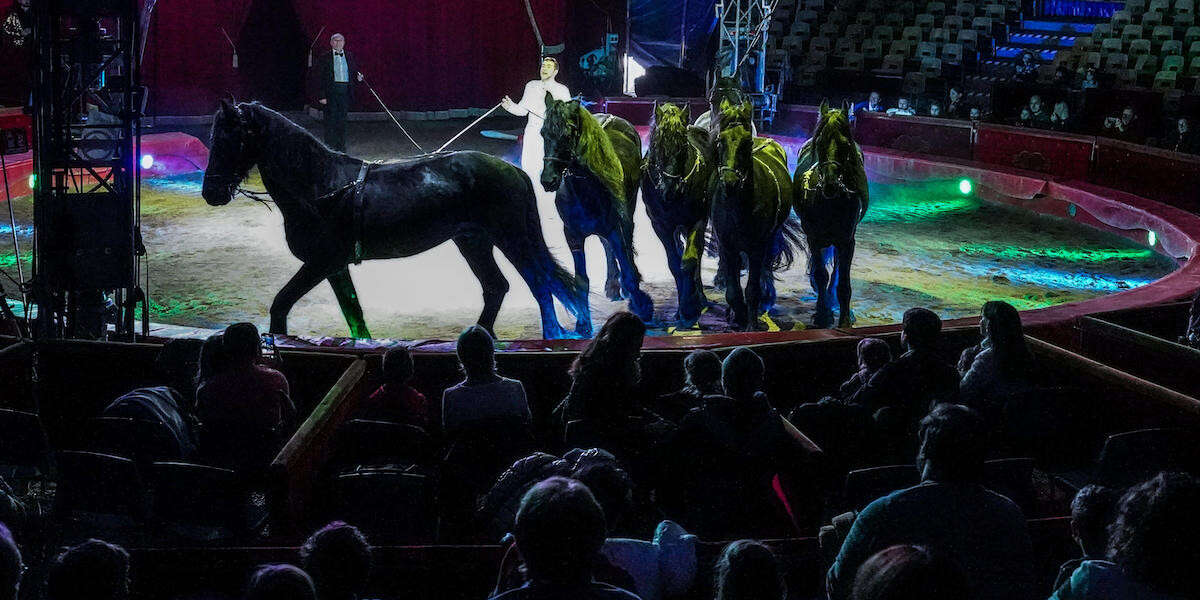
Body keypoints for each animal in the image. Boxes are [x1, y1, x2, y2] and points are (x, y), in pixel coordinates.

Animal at [200, 100, 590, 340]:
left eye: (231, 137)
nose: (211, 192)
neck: (321, 187)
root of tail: (514, 170)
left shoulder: (320, 262)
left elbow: (281, 304)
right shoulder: (334, 267)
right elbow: (354, 315)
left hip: (511, 238)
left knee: (540, 285)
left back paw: (550, 335)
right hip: (473, 241)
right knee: (498, 286)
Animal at [544, 92, 657, 324]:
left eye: (567, 135)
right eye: (543, 133)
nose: (548, 179)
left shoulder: (614, 227)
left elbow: (626, 266)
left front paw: (641, 305)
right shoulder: (573, 236)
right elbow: (581, 280)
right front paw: (582, 323)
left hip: (627, 211)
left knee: (626, 239)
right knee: (607, 247)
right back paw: (612, 284)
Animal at [648, 103, 710, 328]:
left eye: (683, 145)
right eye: (656, 144)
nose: (669, 189)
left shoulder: (697, 220)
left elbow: (689, 261)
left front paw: (690, 308)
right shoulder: (660, 225)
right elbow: (674, 263)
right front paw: (682, 308)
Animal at [686, 100, 796, 331]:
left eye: (747, 142)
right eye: (720, 141)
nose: (730, 182)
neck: (739, 207)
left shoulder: (757, 246)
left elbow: (752, 289)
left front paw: (751, 323)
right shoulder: (728, 246)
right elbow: (733, 290)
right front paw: (738, 316)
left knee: (765, 268)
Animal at [796, 103, 873, 328]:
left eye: (845, 144)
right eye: (820, 142)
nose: (830, 184)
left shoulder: (846, 240)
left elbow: (843, 281)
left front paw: (845, 318)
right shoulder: (813, 237)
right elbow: (821, 274)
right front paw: (822, 314)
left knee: (838, 269)